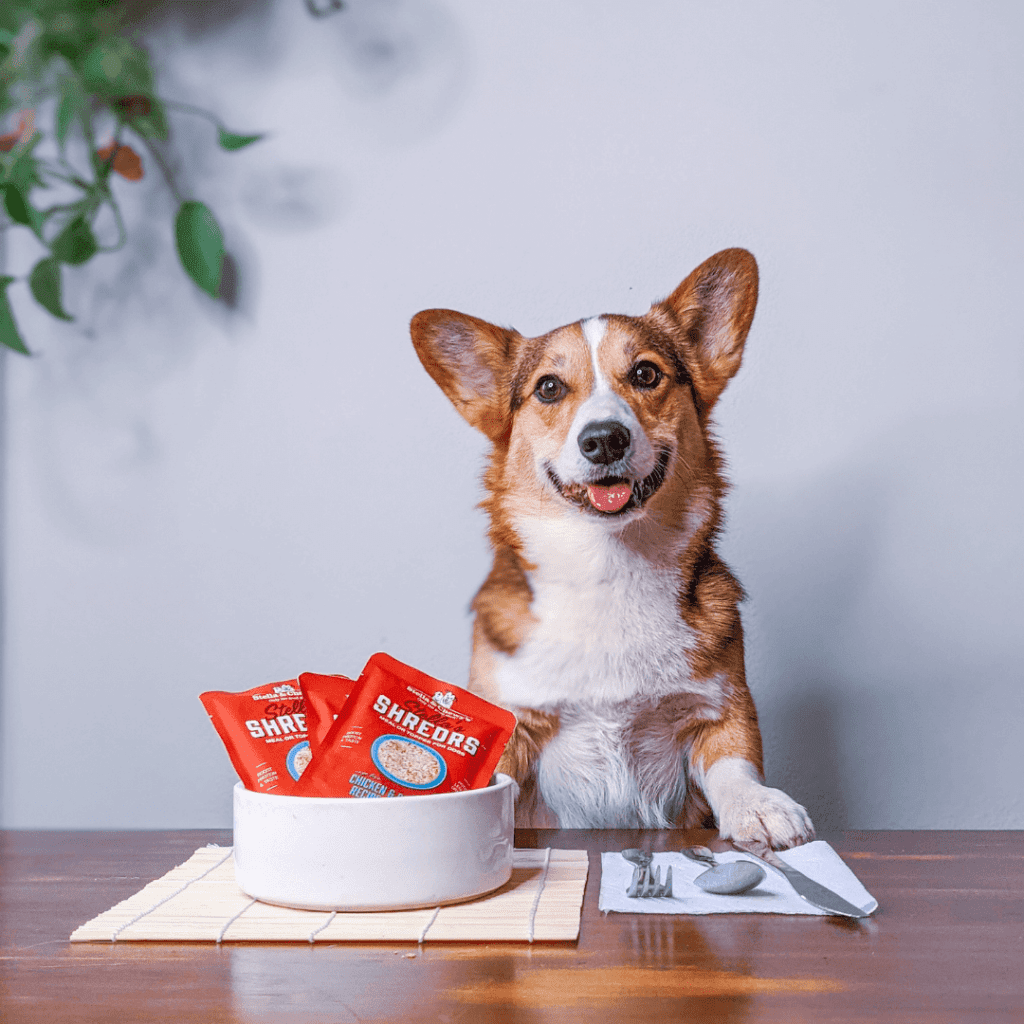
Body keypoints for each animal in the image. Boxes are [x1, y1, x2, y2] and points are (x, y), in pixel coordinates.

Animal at [407, 247, 815, 847]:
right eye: (549, 388)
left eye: (646, 373)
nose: (604, 440)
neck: (609, 565)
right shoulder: (511, 725)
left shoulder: (719, 709)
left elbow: (734, 764)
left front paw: (760, 806)